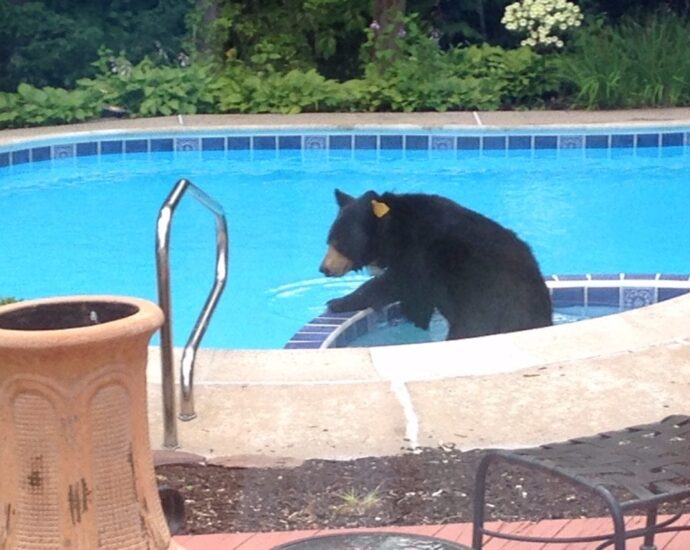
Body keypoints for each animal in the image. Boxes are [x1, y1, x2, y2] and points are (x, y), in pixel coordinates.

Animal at [319, 189, 552, 340]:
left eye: (338, 241)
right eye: (329, 239)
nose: (324, 268)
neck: (395, 231)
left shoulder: (419, 255)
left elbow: (397, 285)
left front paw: (337, 302)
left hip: (487, 303)